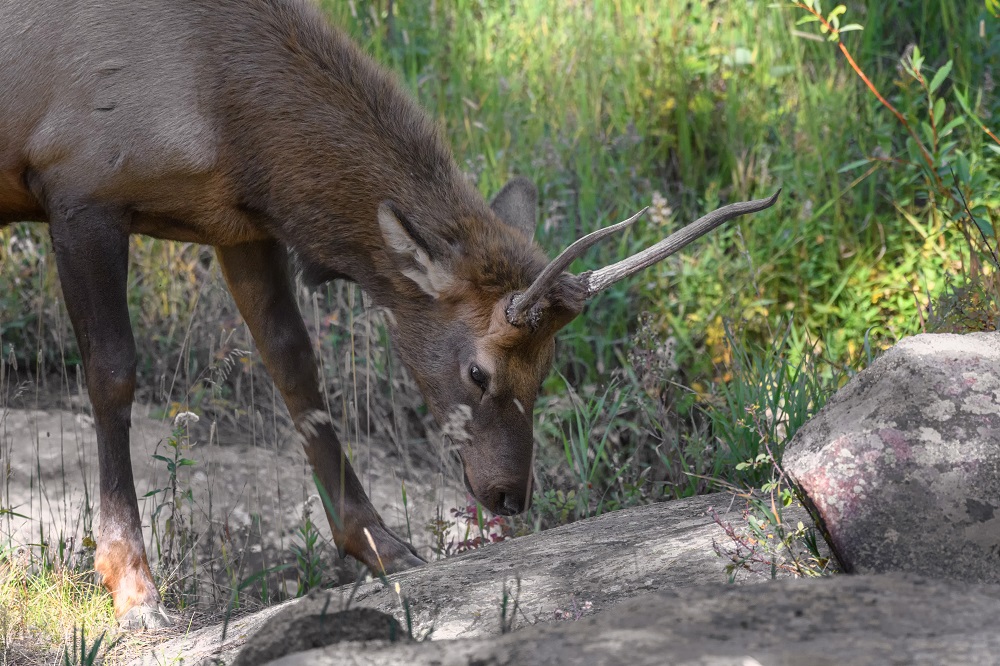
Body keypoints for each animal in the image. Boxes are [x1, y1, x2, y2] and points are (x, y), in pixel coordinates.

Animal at [0, 0, 776, 628]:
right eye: (478, 372)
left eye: (550, 365)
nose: (510, 495)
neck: (226, 121)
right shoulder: (80, 189)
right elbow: (112, 375)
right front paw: (134, 588)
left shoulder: (236, 224)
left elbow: (295, 364)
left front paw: (382, 544)